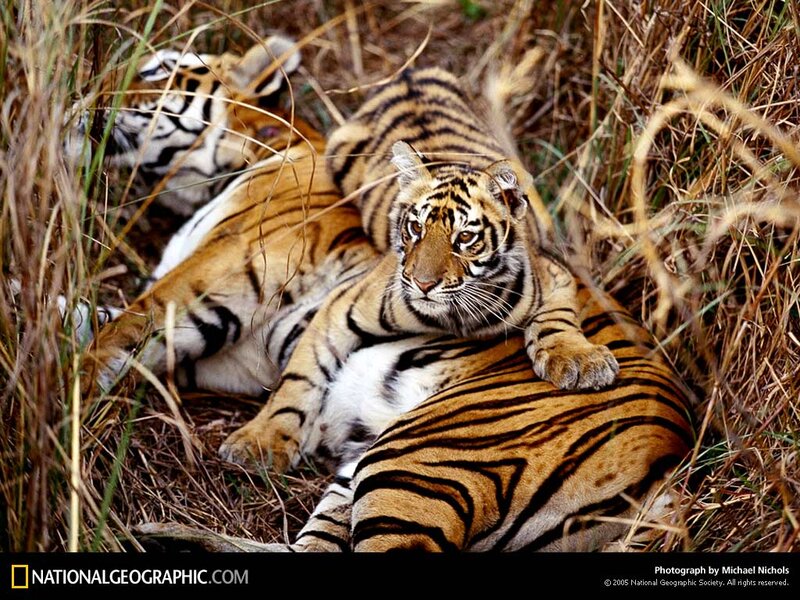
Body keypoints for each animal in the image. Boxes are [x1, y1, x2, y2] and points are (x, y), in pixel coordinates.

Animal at [78, 38, 693, 551]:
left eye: (156, 68)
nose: (83, 94)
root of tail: (674, 451)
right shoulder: (236, 356)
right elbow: (93, 316)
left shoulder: (216, 276)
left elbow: (119, 329)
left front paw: (63, 387)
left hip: (418, 460)